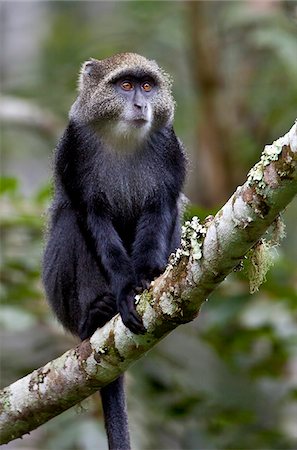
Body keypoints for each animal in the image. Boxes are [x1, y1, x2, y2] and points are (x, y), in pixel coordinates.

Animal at [42, 53, 185, 450]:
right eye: (125, 85)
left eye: (147, 86)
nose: (140, 105)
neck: (122, 139)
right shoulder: (73, 148)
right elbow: (91, 215)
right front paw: (124, 288)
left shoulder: (168, 148)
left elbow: (161, 208)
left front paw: (148, 276)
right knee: (71, 220)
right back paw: (96, 315)